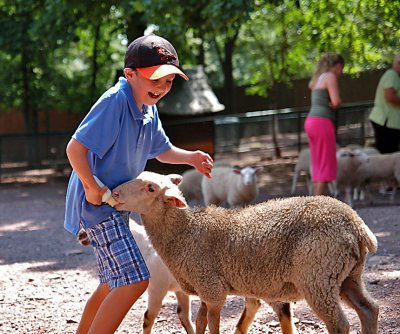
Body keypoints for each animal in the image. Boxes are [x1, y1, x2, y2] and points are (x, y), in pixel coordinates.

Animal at [111, 172, 378, 334]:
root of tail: (357, 225)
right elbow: (199, 321)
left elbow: (212, 324)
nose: (114, 193)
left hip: (318, 276)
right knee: (369, 310)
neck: (186, 232)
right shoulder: (205, 288)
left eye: (150, 188)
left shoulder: (212, 288)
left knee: (340, 325)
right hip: (346, 276)